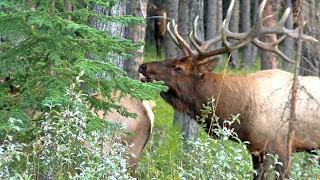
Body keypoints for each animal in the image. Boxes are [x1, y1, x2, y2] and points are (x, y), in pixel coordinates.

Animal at [138, 0, 320, 179]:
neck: (243, 116)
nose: (143, 66)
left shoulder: (282, 146)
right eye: (171, 58)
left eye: (179, 68)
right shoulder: (256, 148)